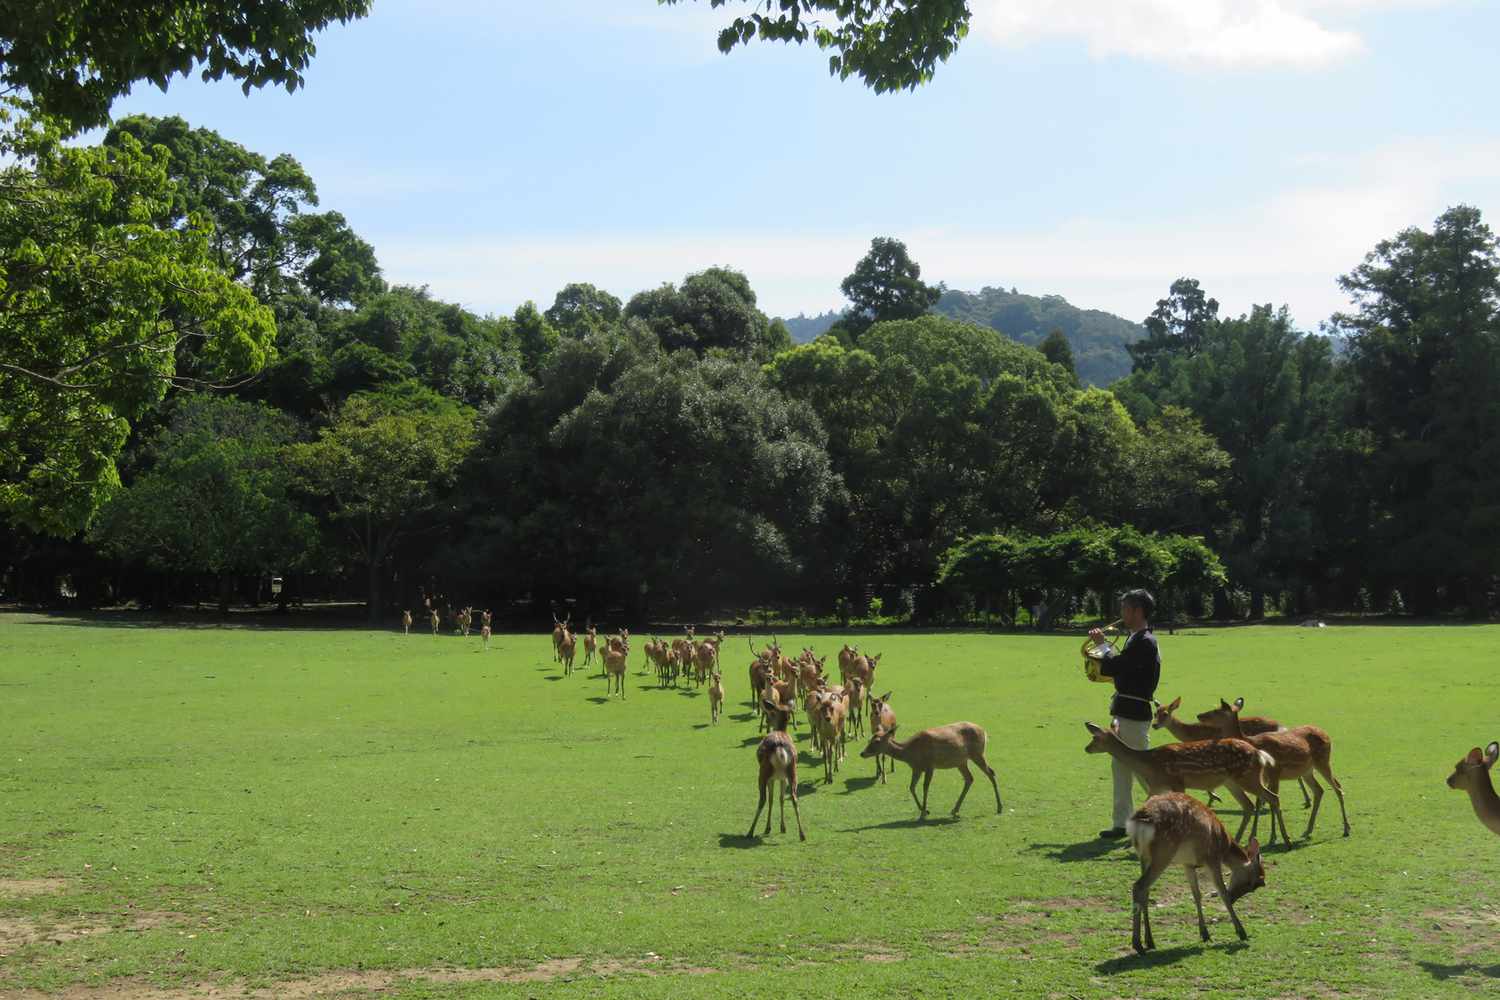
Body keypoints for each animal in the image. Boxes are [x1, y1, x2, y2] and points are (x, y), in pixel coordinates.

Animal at [750, 695, 810, 845]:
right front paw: (783, 827)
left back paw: (750, 831)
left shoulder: (772, 778)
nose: (767, 721)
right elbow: (781, 798)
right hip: (792, 771)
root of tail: (780, 749)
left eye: (772, 713)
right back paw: (802, 834)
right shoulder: (782, 778)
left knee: (763, 799)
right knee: (794, 798)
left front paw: (768, 828)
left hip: (764, 772)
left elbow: (772, 799)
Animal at [864, 719, 1002, 821]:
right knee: (970, 778)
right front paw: (925, 810)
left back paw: (999, 807)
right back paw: (954, 810)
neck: (910, 753)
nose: (862, 753)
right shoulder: (916, 768)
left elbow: (925, 787)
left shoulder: (930, 766)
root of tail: (984, 731)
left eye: (876, 741)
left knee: (991, 773)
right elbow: (912, 787)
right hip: (961, 761)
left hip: (977, 753)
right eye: (869, 739)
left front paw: (923, 813)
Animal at [1086, 719, 1272, 845]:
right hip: (1232, 781)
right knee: (1249, 805)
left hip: (1248, 777)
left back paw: (1275, 839)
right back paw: (1239, 838)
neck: (1149, 764)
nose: (1086, 748)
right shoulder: (1157, 786)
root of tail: (1259, 754)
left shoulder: (1177, 782)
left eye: (1095, 738)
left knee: (1270, 797)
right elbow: (1143, 807)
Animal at [1128, 797, 1266, 953]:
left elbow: (1197, 894)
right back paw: (1138, 945)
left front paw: (1205, 934)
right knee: (1138, 886)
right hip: (1164, 853)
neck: (1224, 846)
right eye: (1252, 884)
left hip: (1144, 856)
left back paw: (1150, 941)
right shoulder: (1212, 859)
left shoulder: (1187, 864)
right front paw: (1242, 932)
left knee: (1145, 891)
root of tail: (1140, 822)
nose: (1234, 898)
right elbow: (1222, 893)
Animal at [1194, 701, 1362, 851]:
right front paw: (1259, 836)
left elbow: (1272, 802)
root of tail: (1326, 733)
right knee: (1319, 790)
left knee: (1337, 787)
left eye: (1217, 710)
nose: (1199, 715)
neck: (1253, 742)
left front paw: (1272, 837)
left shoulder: (1275, 772)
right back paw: (1308, 830)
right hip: (1307, 770)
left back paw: (1346, 829)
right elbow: (1262, 802)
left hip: (1323, 761)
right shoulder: (1264, 777)